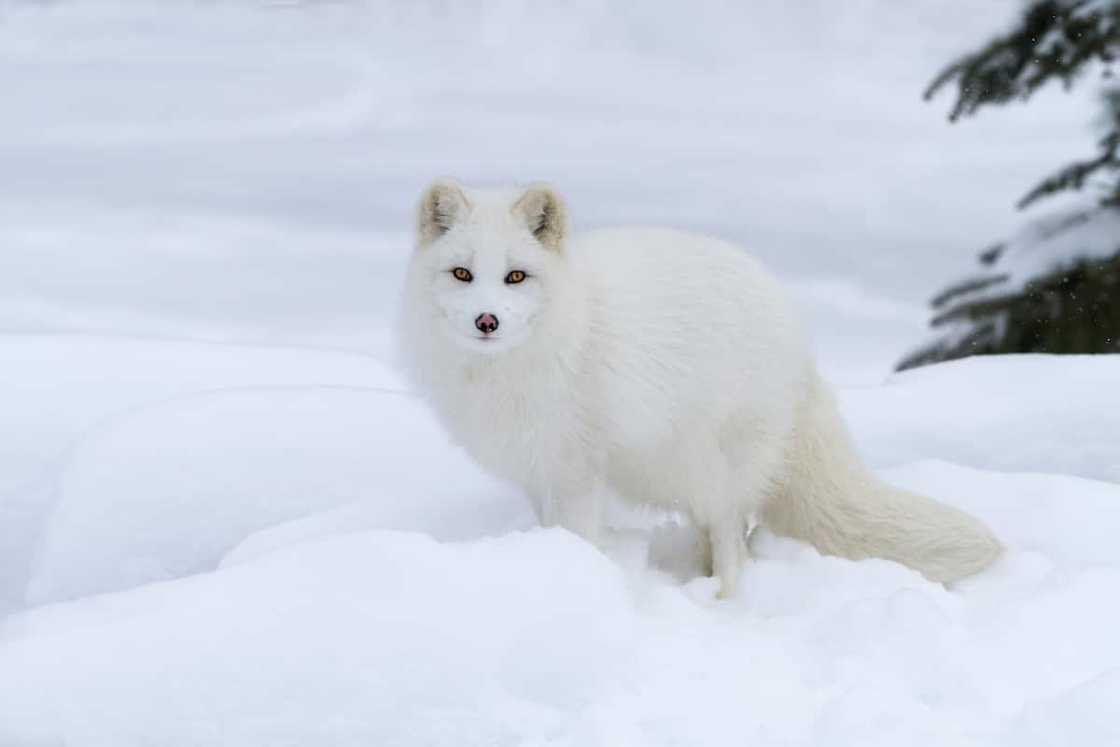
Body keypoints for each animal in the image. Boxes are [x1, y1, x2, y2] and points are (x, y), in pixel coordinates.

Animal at [398, 179, 1003, 595]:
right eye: (462, 274)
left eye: (516, 277)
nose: (487, 321)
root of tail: (798, 339)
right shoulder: (536, 466)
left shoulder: (576, 469)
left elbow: (578, 534)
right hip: (672, 468)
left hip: (715, 465)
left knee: (734, 536)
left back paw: (723, 599)